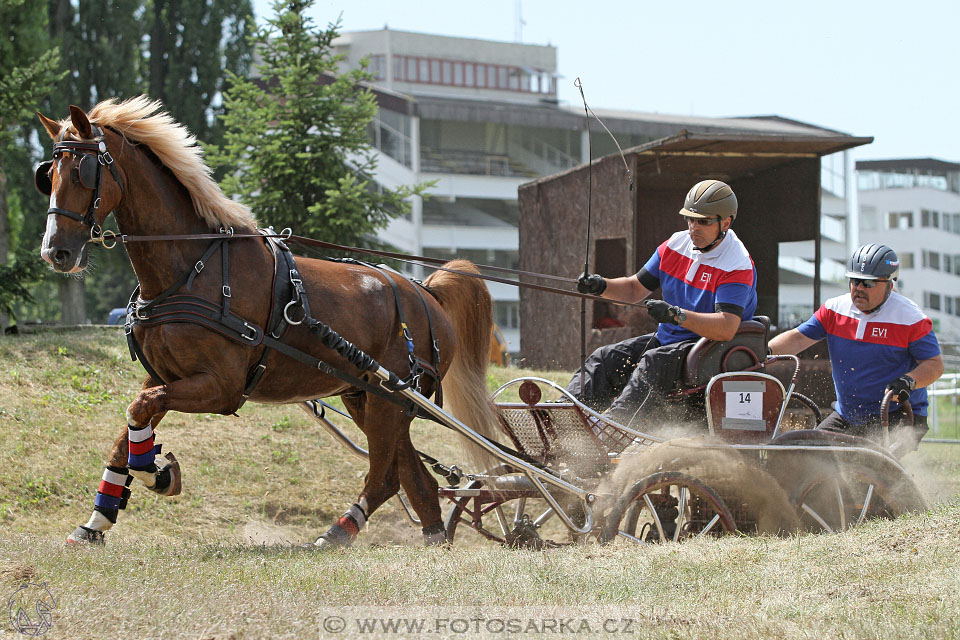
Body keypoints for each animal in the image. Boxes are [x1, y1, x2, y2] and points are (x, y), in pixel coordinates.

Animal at [35, 97, 502, 548]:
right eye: (48, 174)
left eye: (83, 171)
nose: (55, 251)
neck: (193, 266)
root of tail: (426, 292)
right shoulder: (165, 377)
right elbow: (128, 431)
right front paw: (97, 521)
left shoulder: (220, 387)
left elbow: (138, 410)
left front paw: (157, 473)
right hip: (369, 397)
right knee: (414, 478)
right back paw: (429, 536)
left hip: (389, 400)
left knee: (386, 475)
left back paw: (342, 531)